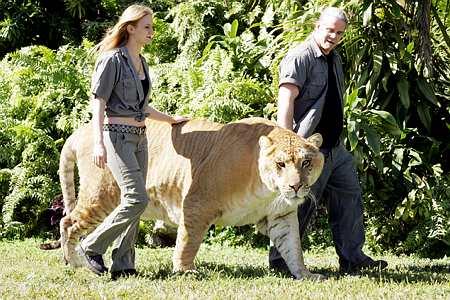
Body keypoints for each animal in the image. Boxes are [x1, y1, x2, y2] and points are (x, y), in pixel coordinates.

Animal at [60, 116, 326, 278]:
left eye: (306, 162)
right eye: (281, 164)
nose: (296, 186)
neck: (267, 190)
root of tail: (82, 130)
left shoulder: (281, 216)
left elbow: (293, 247)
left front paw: (306, 274)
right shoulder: (196, 201)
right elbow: (188, 241)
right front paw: (185, 271)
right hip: (102, 194)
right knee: (68, 222)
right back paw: (77, 263)